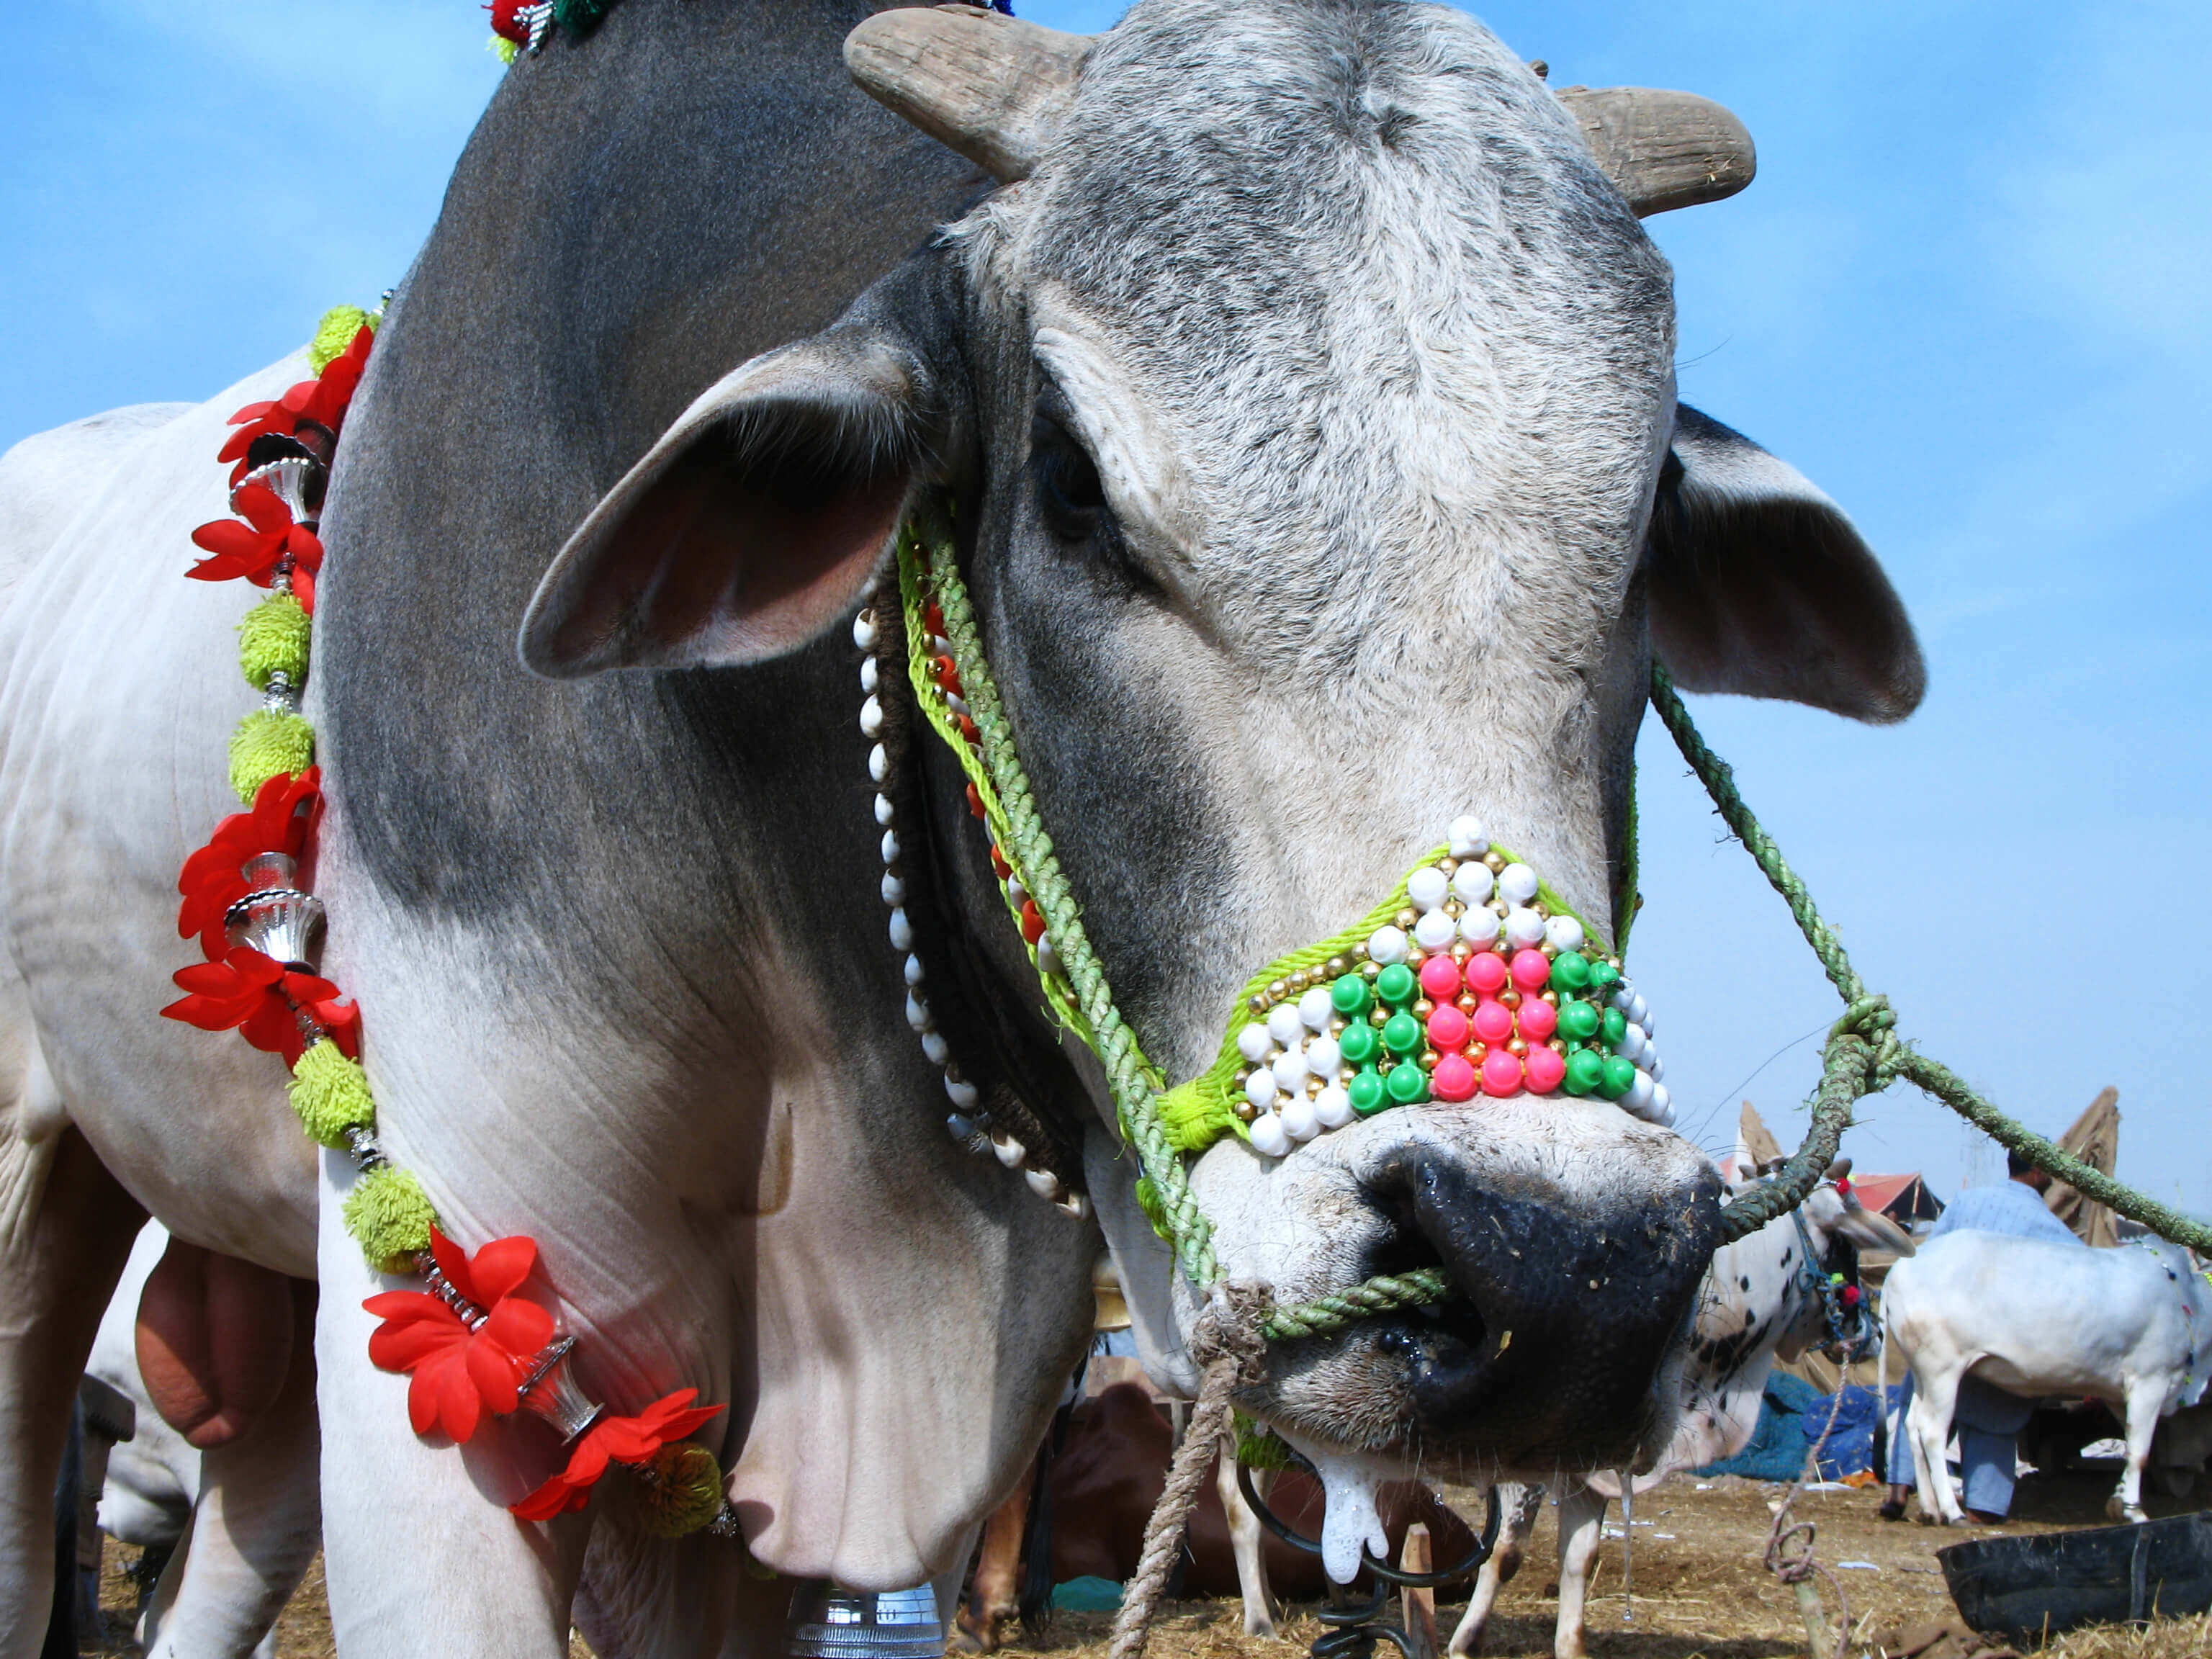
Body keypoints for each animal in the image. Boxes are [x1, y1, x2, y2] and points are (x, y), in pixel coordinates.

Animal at [1884, 1230, 2212, 1530]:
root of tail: (1901, 1270)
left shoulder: (2119, 1395)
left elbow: (2131, 1445)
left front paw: (2119, 1502)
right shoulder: (2151, 1380)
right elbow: (2141, 1453)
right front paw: (2135, 1511)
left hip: (1923, 1372)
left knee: (1912, 1424)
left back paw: (1930, 1508)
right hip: (1943, 1369)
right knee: (1931, 1431)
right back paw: (1953, 1512)